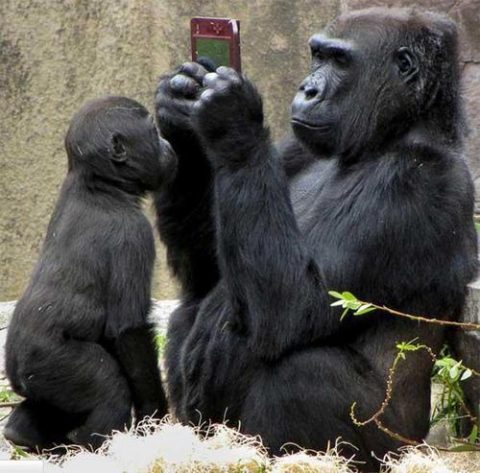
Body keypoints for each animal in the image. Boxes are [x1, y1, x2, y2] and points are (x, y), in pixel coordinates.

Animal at [3, 95, 176, 450]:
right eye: (153, 133)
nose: (167, 144)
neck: (100, 184)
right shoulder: (134, 236)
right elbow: (129, 331)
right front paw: (154, 416)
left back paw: (21, 432)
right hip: (50, 360)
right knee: (109, 388)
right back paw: (91, 445)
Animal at [156, 7, 478, 468]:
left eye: (340, 61)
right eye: (317, 55)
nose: (307, 89)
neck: (387, 136)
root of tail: (417, 444)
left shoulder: (416, 183)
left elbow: (294, 308)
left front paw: (230, 119)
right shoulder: (296, 147)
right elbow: (206, 272)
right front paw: (179, 111)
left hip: (395, 447)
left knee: (302, 371)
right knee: (191, 308)